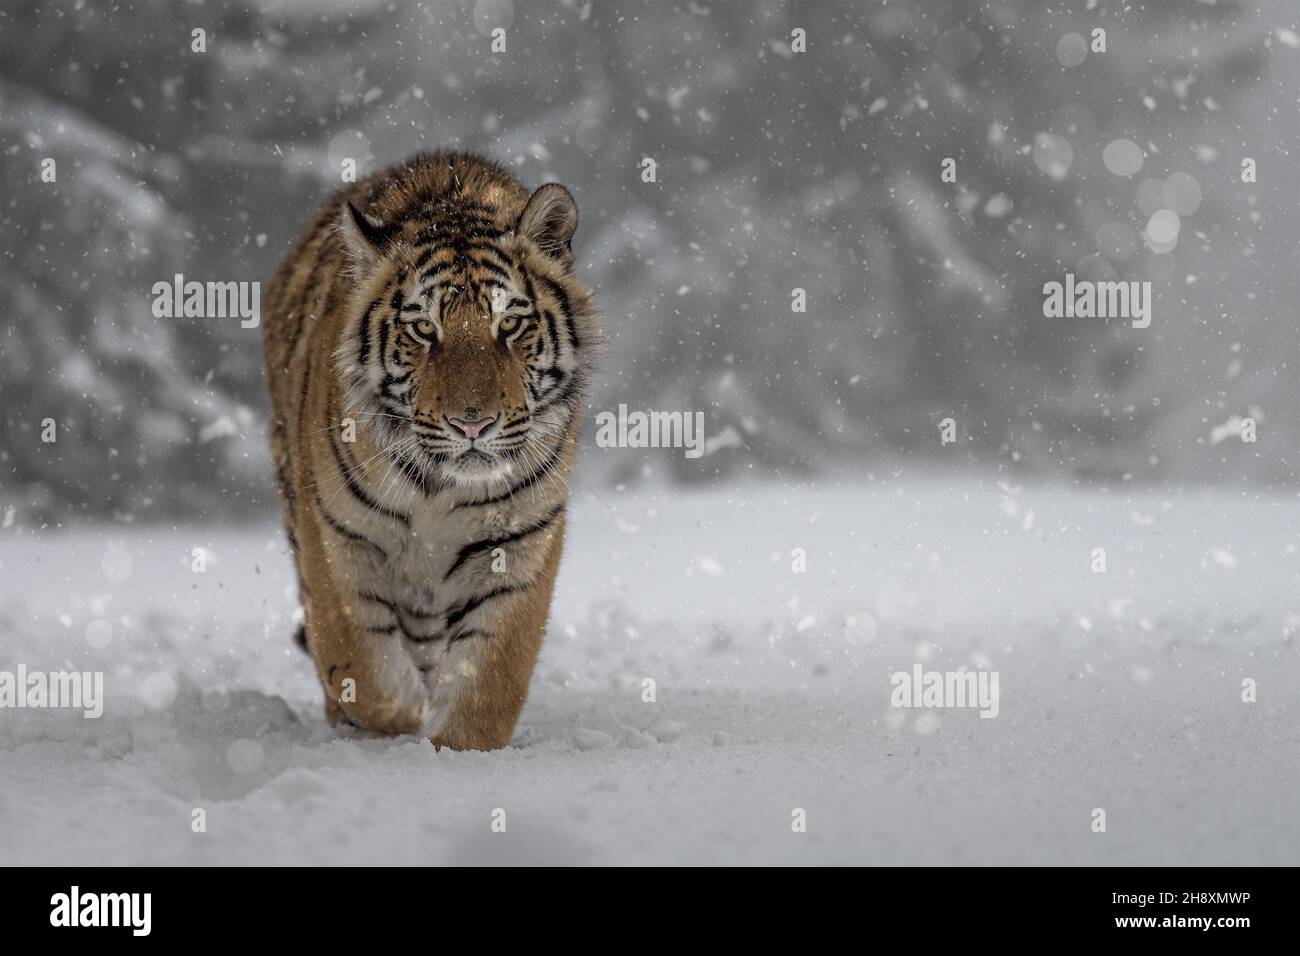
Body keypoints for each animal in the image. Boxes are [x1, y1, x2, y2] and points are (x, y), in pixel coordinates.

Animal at [261, 151, 599, 751]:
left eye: (510, 323)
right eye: (423, 328)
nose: (473, 423)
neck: (438, 489)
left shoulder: (517, 541)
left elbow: (488, 677)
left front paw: (455, 749)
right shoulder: (337, 535)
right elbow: (359, 662)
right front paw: (400, 716)